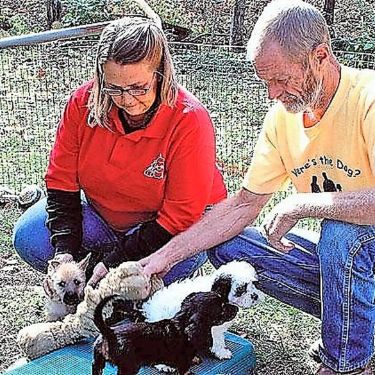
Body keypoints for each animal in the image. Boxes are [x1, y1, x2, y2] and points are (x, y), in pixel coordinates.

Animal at [92, 294, 238, 375]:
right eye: (222, 308)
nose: (237, 308)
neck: (182, 322)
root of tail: (109, 333)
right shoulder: (183, 367)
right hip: (129, 367)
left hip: (98, 362)